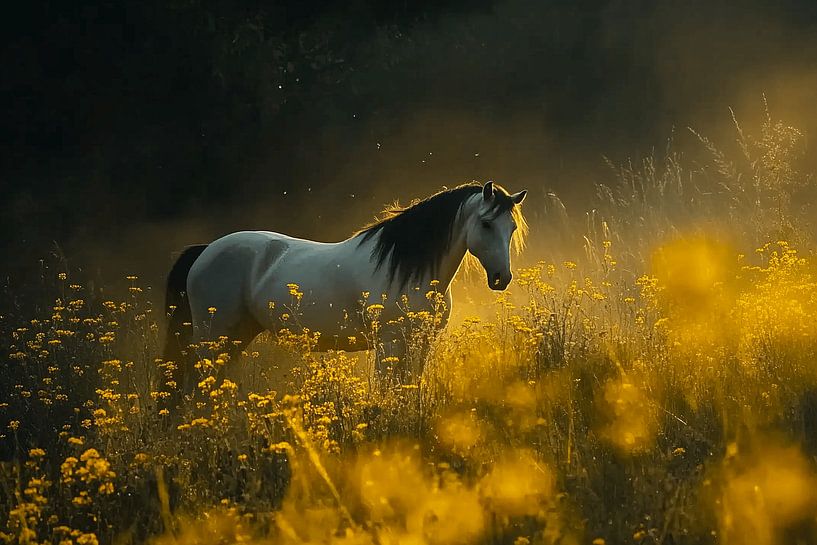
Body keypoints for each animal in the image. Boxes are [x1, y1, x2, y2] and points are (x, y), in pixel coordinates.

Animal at [162, 181, 527, 394]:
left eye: (511, 227)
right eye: (486, 223)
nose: (501, 278)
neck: (409, 271)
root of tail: (206, 250)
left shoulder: (419, 343)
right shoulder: (390, 344)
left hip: (235, 337)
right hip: (212, 337)